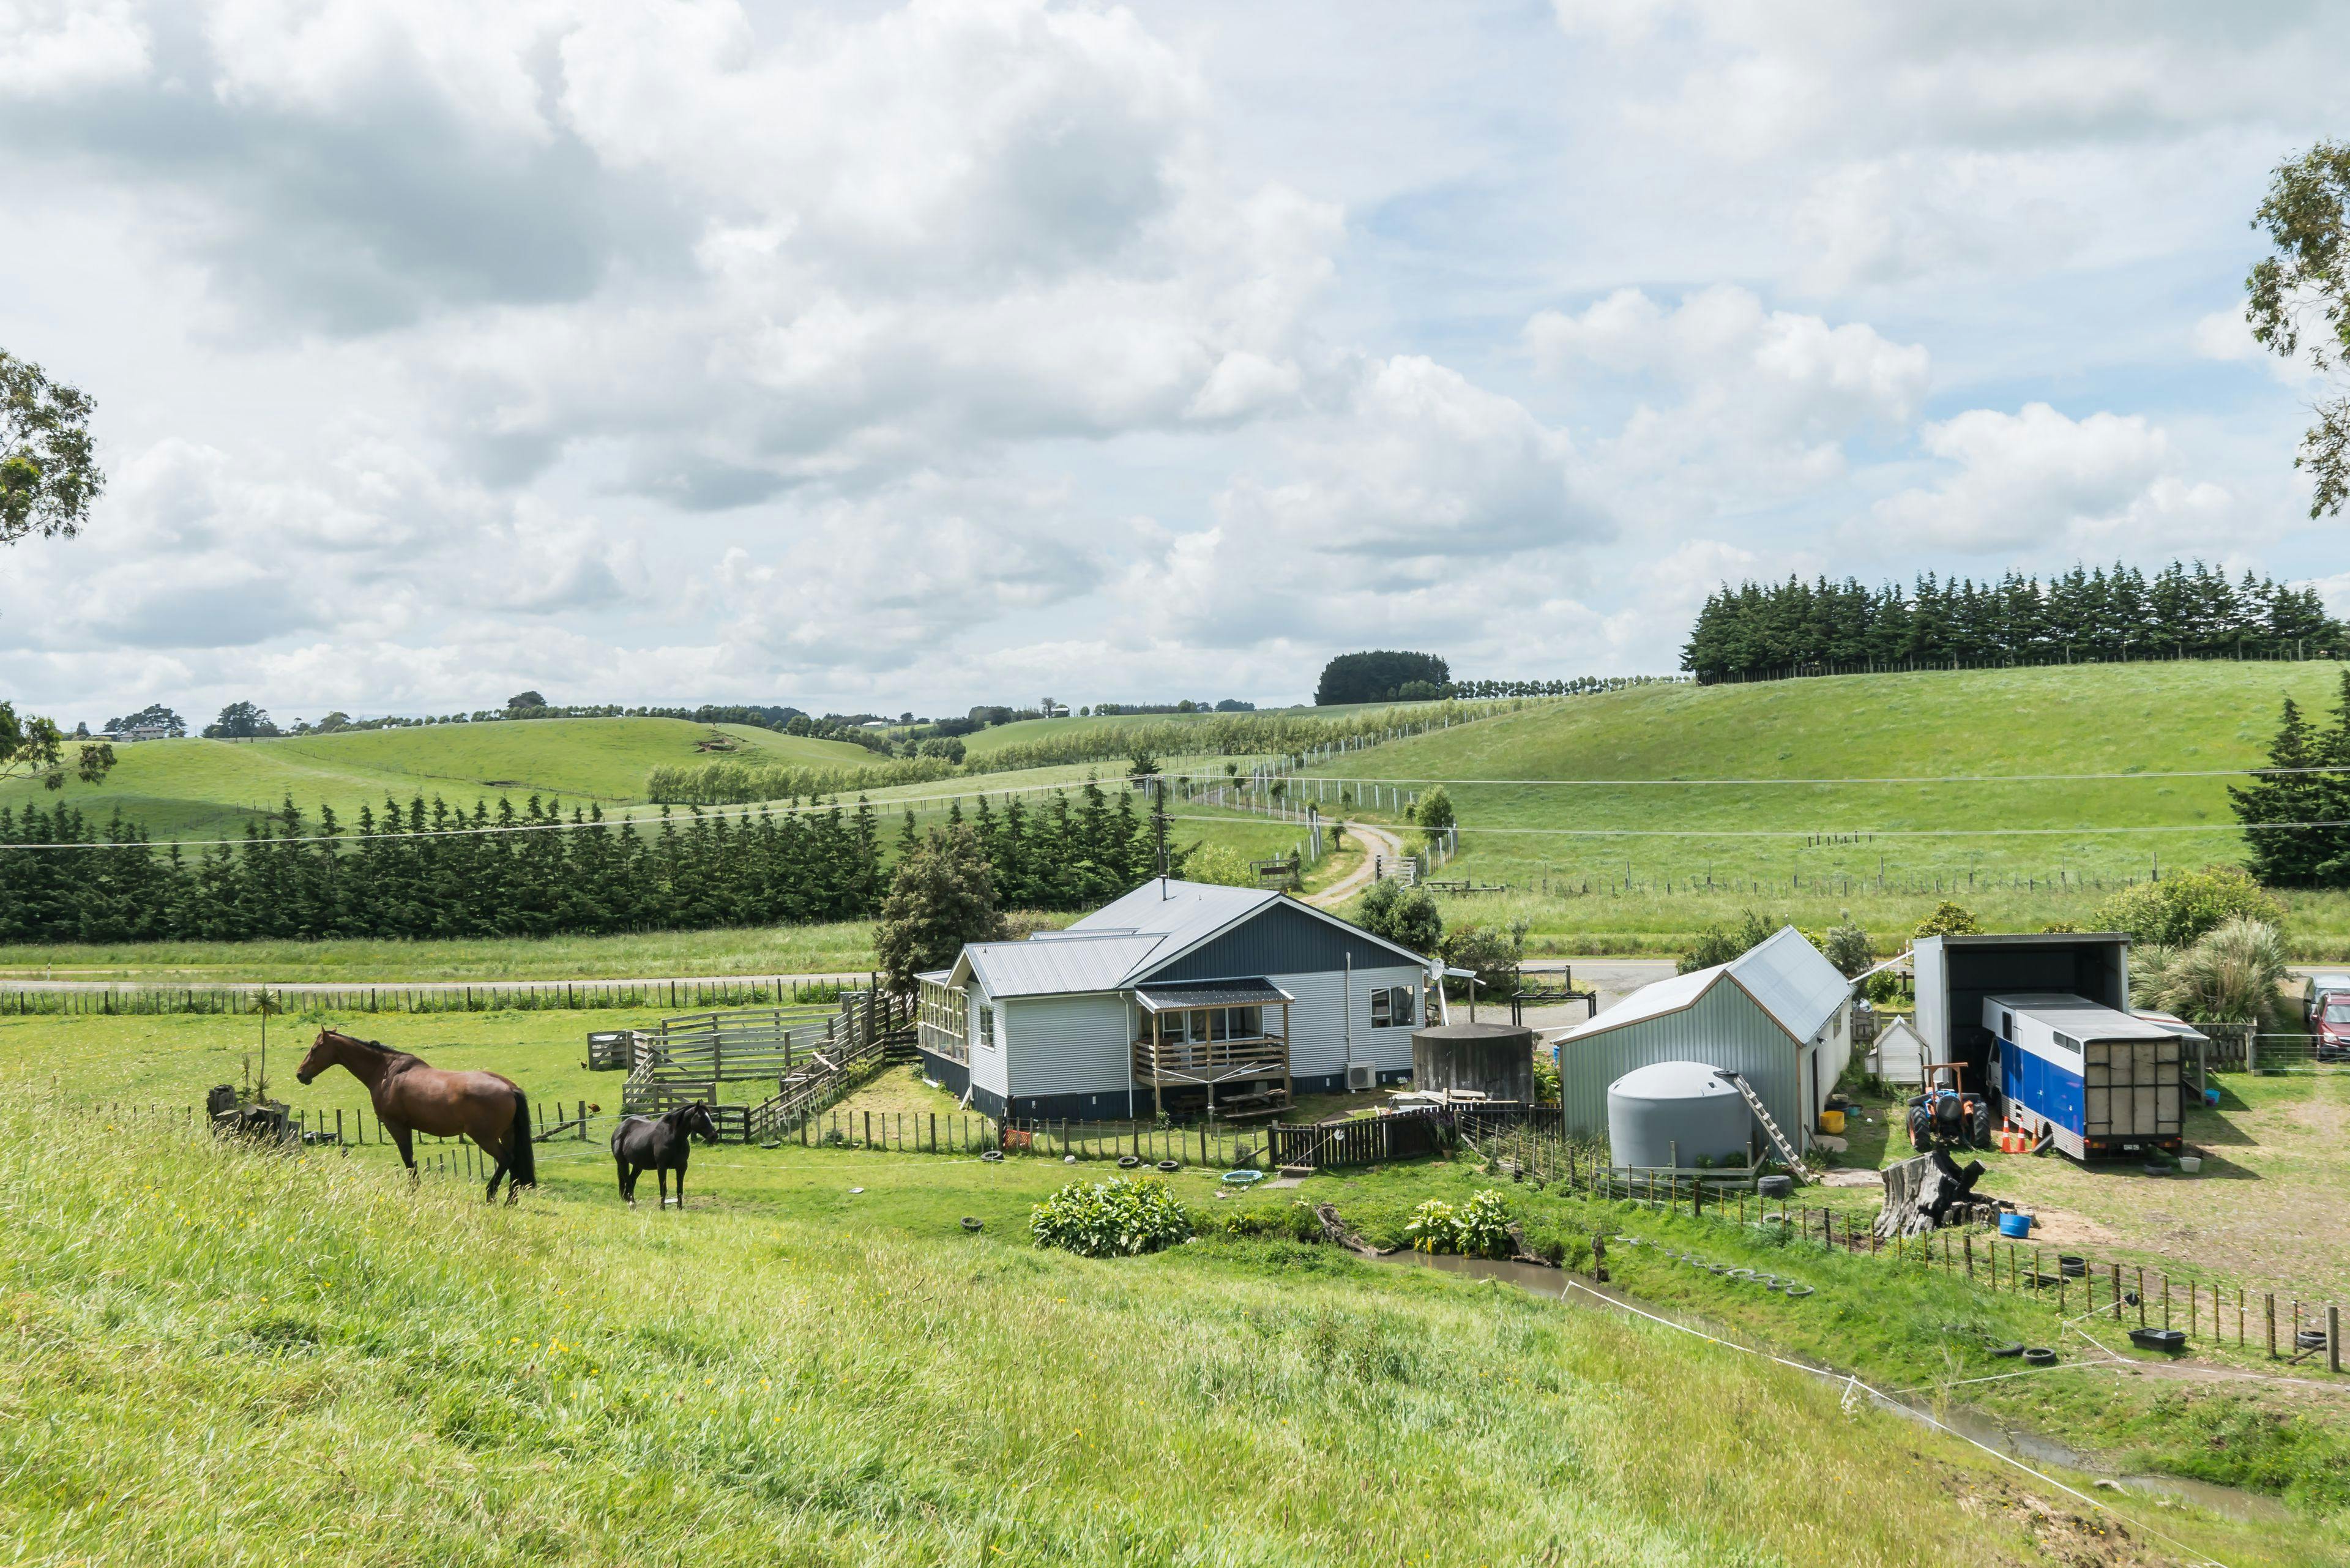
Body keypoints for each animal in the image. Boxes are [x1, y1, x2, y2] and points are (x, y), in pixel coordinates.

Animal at [296, 1029, 535, 1203]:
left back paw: (490, 1195)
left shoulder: (396, 1126)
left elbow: (408, 1159)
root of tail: (509, 1088)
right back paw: (510, 1201)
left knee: (506, 1160)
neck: (387, 1072)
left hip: (485, 1138)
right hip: (507, 1135)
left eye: (315, 1048)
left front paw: (413, 1190)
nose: (300, 1074)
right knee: (514, 1164)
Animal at [606, 1105, 714, 1212]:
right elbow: (663, 1189)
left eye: (709, 1116)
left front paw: (680, 1208)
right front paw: (662, 1208)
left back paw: (629, 1200)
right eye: (701, 1117)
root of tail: (619, 1128)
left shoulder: (682, 1167)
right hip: (622, 1162)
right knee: (628, 1181)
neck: (673, 1137)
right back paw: (632, 1203)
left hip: (638, 1166)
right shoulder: (662, 1167)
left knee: (632, 1181)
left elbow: (680, 1189)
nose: (714, 1136)